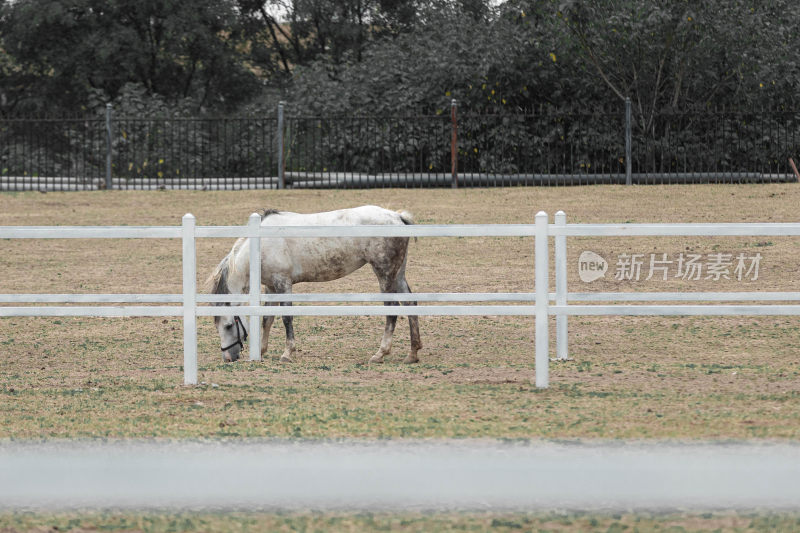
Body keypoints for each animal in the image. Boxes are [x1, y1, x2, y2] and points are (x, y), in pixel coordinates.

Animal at [206, 204, 422, 362]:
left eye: (228, 326)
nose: (228, 357)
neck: (261, 244)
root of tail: (397, 216)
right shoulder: (271, 286)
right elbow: (267, 318)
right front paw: (261, 350)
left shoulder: (283, 283)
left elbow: (286, 318)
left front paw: (287, 353)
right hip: (397, 274)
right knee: (410, 304)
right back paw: (412, 353)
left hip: (384, 274)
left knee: (392, 310)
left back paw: (380, 353)